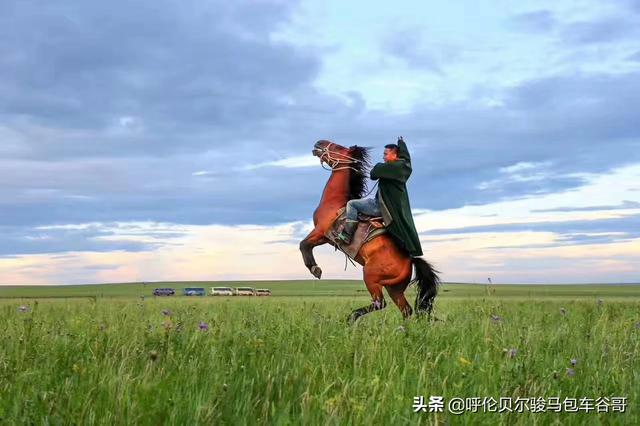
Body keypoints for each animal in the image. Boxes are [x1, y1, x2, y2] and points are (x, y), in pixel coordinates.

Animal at [300, 140, 440, 322]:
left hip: (371, 277)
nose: (319, 142)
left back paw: (352, 317)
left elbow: (303, 245)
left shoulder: (320, 231)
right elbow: (307, 245)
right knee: (406, 310)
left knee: (380, 303)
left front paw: (315, 269)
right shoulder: (325, 237)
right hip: (394, 288)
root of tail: (410, 260)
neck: (335, 202)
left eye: (338, 147)